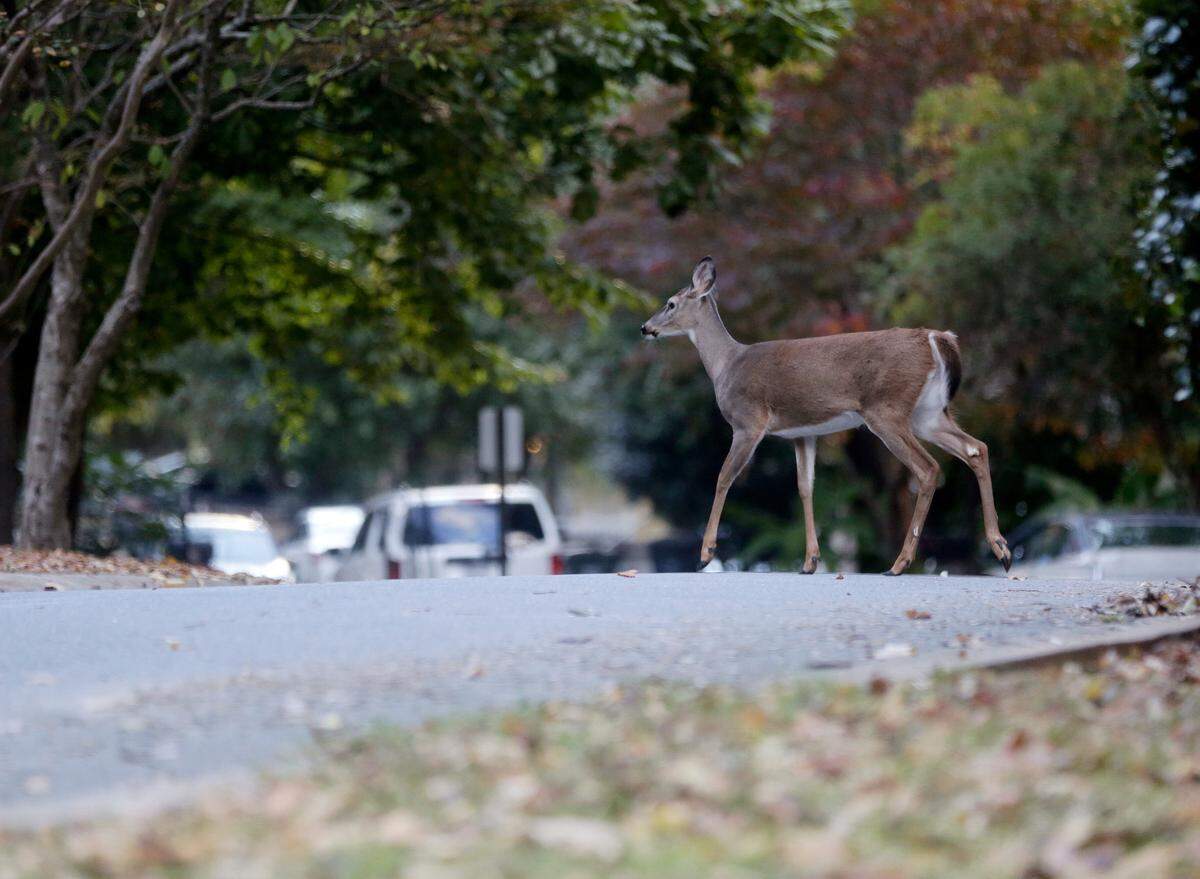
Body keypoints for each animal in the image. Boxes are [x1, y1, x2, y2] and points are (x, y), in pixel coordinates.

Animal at [640, 256, 1011, 576]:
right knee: (976, 448)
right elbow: (805, 487)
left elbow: (723, 478)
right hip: (928, 412)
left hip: (886, 409)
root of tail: (938, 337)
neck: (726, 365)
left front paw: (705, 554)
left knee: (929, 468)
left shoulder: (748, 422)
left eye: (670, 303)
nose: (645, 327)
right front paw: (810, 561)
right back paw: (1001, 549)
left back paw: (899, 563)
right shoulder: (803, 433)